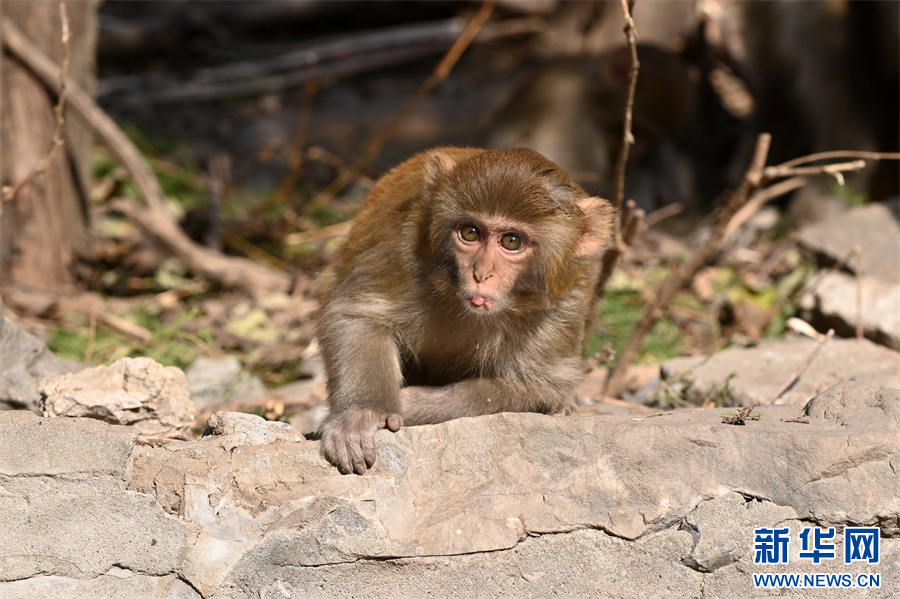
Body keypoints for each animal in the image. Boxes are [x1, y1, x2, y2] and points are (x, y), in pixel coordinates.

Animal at [312, 146, 616, 474]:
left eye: (511, 241)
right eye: (470, 233)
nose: (481, 274)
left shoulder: (564, 302)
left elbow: (544, 385)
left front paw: (416, 405)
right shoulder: (403, 249)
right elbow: (358, 315)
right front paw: (361, 414)